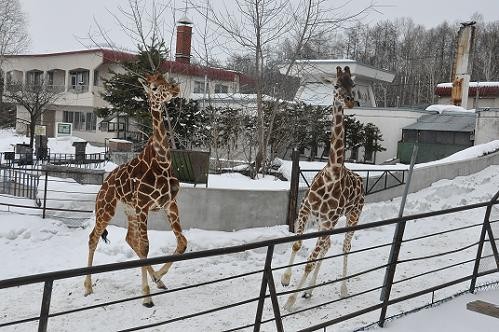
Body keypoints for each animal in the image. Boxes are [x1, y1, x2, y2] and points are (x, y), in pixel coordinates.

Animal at [84, 74, 188, 308]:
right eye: (154, 87)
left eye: (166, 79)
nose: (175, 88)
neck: (162, 162)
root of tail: (102, 186)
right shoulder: (143, 206)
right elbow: (145, 247)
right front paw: (147, 296)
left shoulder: (170, 204)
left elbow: (182, 243)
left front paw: (158, 278)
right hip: (107, 210)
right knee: (93, 238)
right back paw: (87, 287)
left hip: (129, 211)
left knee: (130, 239)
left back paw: (157, 280)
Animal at [282, 65, 368, 312]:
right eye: (337, 85)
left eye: (353, 85)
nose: (350, 101)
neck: (332, 171)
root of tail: (362, 182)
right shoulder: (305, 211)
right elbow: (297, 244)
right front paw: (285, 279)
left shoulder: (329, 220)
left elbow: (310, 261)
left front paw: (289, 301)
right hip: (325, 222)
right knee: (328, 245)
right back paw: (309, 291)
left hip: (352, 216)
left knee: (345, 246)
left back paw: (343, 289)